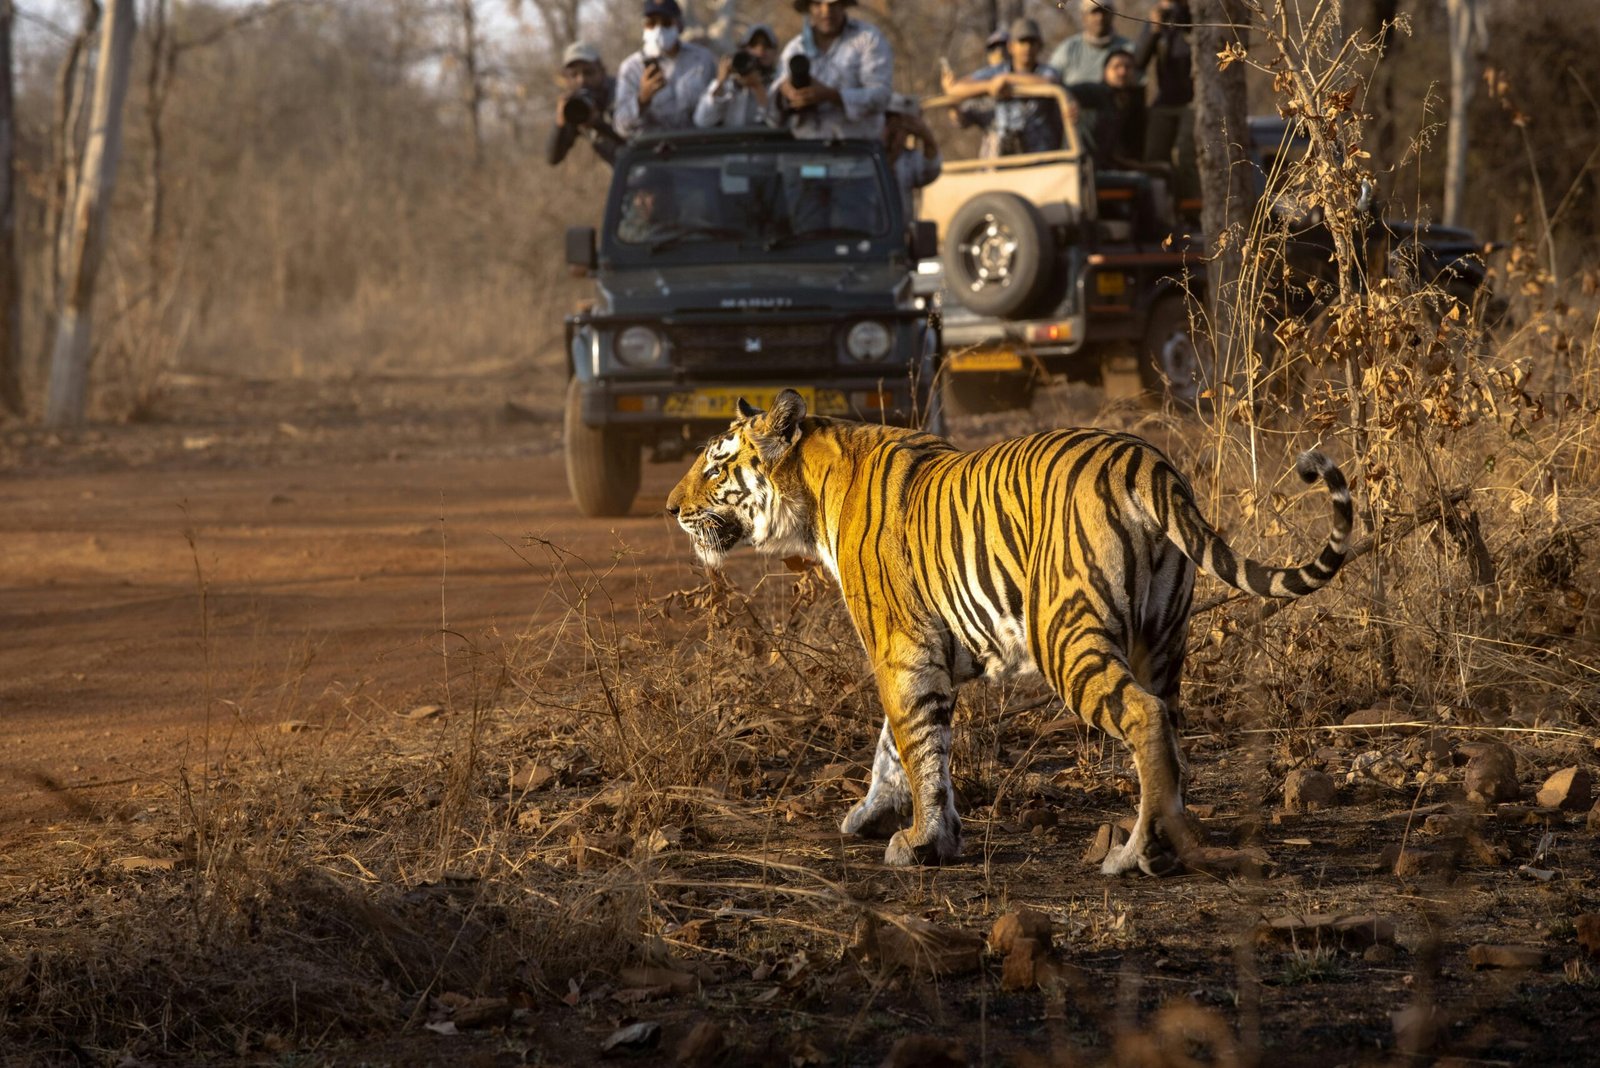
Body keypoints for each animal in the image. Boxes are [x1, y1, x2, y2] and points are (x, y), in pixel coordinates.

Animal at [666, 389, 1352, 875]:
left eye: (716, 466)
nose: (671, 508)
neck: (811, 493)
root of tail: (1148, 461)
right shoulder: (930, 651)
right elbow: (895, 743)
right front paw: (873, 815)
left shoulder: (901, 650)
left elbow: (917, 743)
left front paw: (923, 841)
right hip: (1163, 638)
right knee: (1170, 727)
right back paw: (1165, 841)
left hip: (1064, 635)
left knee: (1144, 717)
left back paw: (1137, 855)